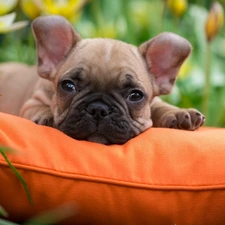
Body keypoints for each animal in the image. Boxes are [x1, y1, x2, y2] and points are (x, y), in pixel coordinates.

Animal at [0, 14, 204, 144]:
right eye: (68, 86)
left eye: (136, 95)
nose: (98, 109)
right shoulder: (32, 102)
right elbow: (38, 107)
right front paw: (46, 116)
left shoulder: (153, 101)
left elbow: (159, 106)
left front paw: (179, 114)